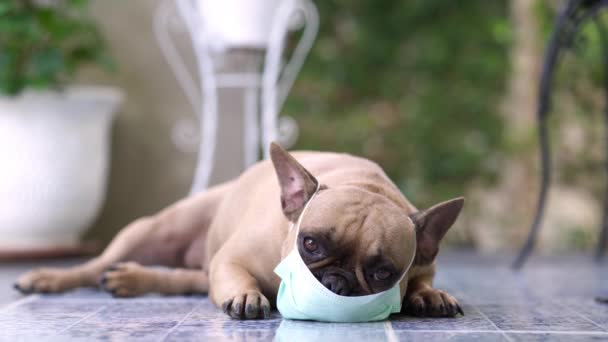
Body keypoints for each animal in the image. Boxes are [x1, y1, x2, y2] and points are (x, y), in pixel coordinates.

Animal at [14, 143, 464, 320]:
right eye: (310, 243)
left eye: (382, 273)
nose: (336, 283)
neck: (365, 185)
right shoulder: (233, 259)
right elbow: (238, 276)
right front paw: (247, 297)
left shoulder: (424, 264)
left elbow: (423, 280)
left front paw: (430, 295)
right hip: (156, 229)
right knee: (94, 265)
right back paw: (47, 278)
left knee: (188, 280)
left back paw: (132, 279)